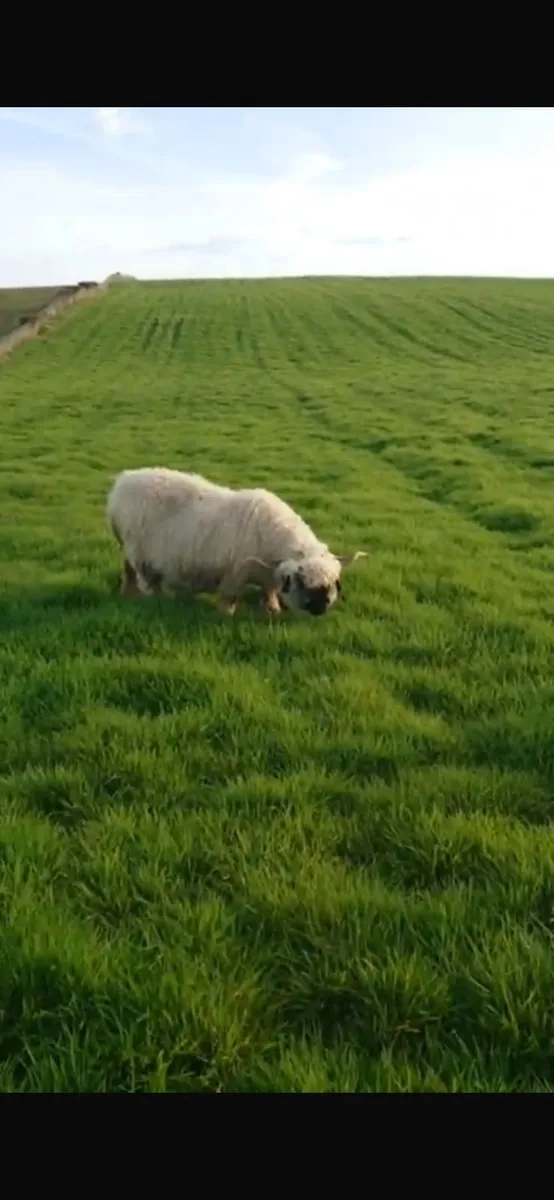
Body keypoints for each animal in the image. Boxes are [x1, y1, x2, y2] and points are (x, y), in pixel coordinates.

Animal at [106, 466, 367, 617]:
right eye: (302, 583)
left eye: (335, 583)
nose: (321, 608)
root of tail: (122, 480)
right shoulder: (235, 573)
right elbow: (229, 597)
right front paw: (226, 616)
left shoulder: (268, 575)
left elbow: (269, 593)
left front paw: (273, 611)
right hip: (141, 554)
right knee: (148, 582)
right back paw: (157, 601)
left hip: (128, 550)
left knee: (128, 572)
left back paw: (127, 595)